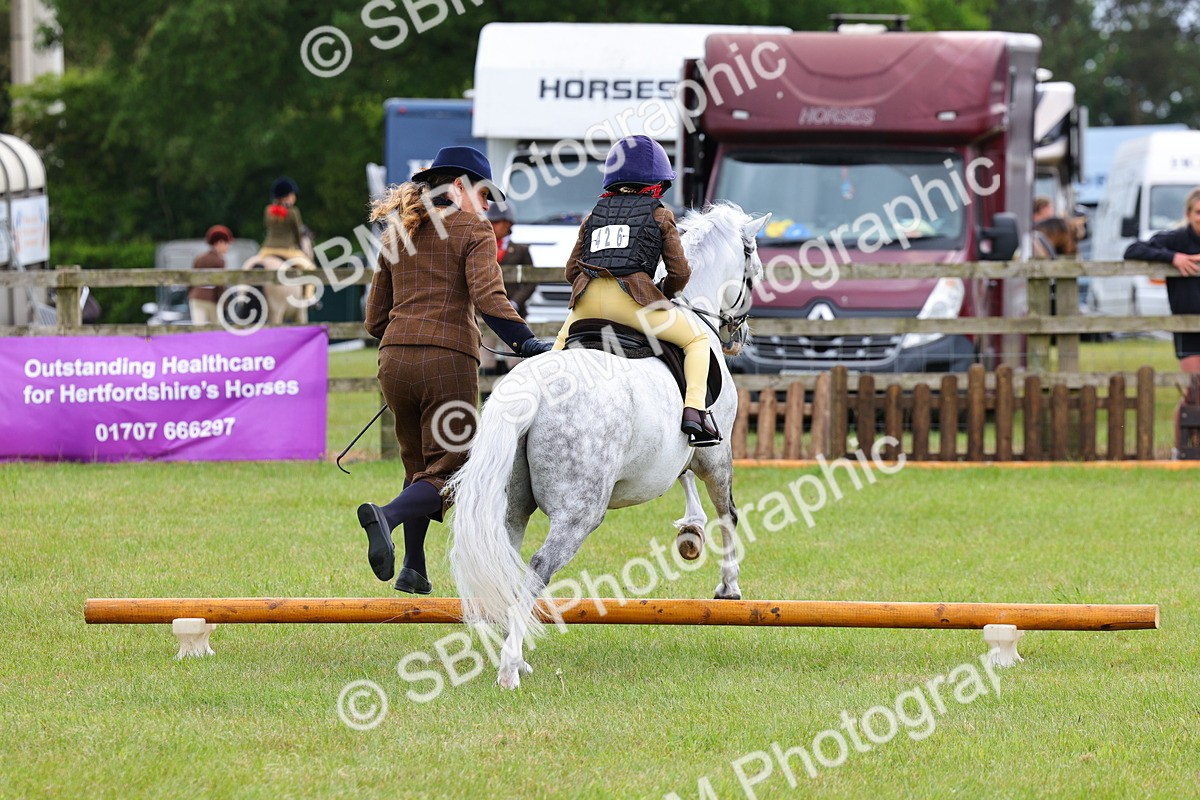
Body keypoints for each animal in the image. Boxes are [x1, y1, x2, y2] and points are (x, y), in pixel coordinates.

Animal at [446, 202, 770, 689]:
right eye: (753, 272)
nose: (739, 337)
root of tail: (534, 389)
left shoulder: (676, 454)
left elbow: (683, 478)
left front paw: (689, 534)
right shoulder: (715, 451)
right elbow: (726, 512)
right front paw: (727, 584)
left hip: (511, 504)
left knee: (506, 560)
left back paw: (511, 655)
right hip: (580, 513)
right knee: (537, 569)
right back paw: (509, 668)